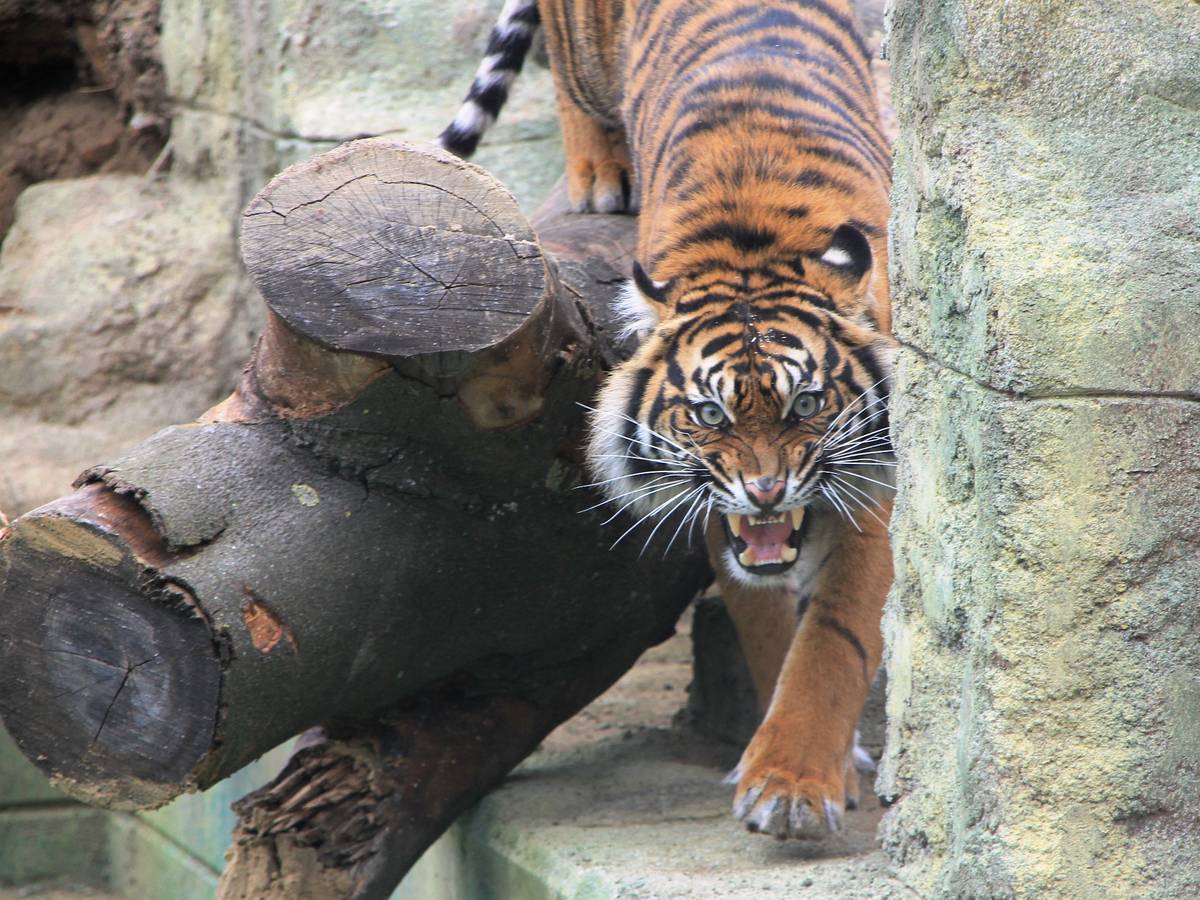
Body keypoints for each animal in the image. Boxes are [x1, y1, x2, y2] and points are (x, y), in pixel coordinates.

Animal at [439, 0, 892, 844]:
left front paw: (796, 783)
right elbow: (769, 630)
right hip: (583, 51)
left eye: (807, 404)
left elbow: (832, 638)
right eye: (710, 413)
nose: (766, 493)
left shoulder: (873, 492)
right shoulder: (716, 509)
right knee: (570, 82)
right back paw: (598, 175)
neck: (754, 251)